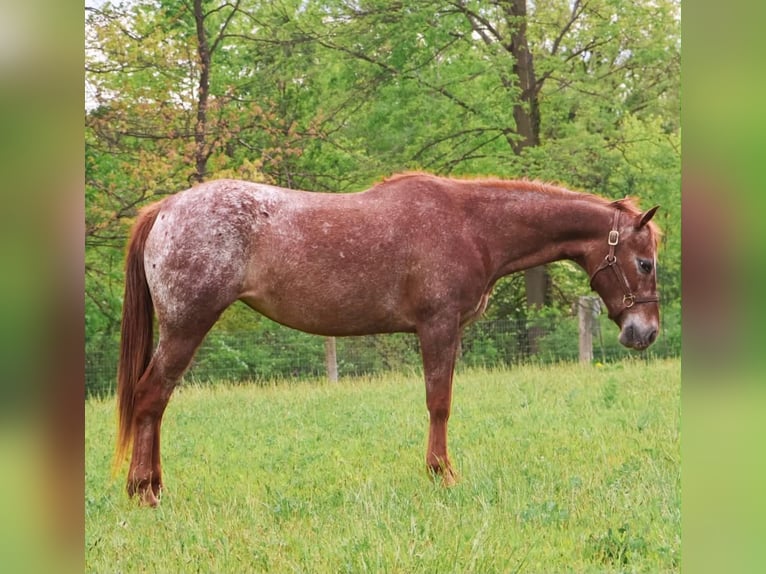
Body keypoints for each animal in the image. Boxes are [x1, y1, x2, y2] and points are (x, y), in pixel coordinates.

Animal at [115, 172, 661, 506]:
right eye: (645, 262)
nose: (646, 333)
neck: (471, 225)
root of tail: (166, 209)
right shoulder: (438, 326)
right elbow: (439, 403)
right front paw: (442, 474)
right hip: (187, 326)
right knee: (151, 398)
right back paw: (143, 491)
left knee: (157, 404)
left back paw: (154, 485)